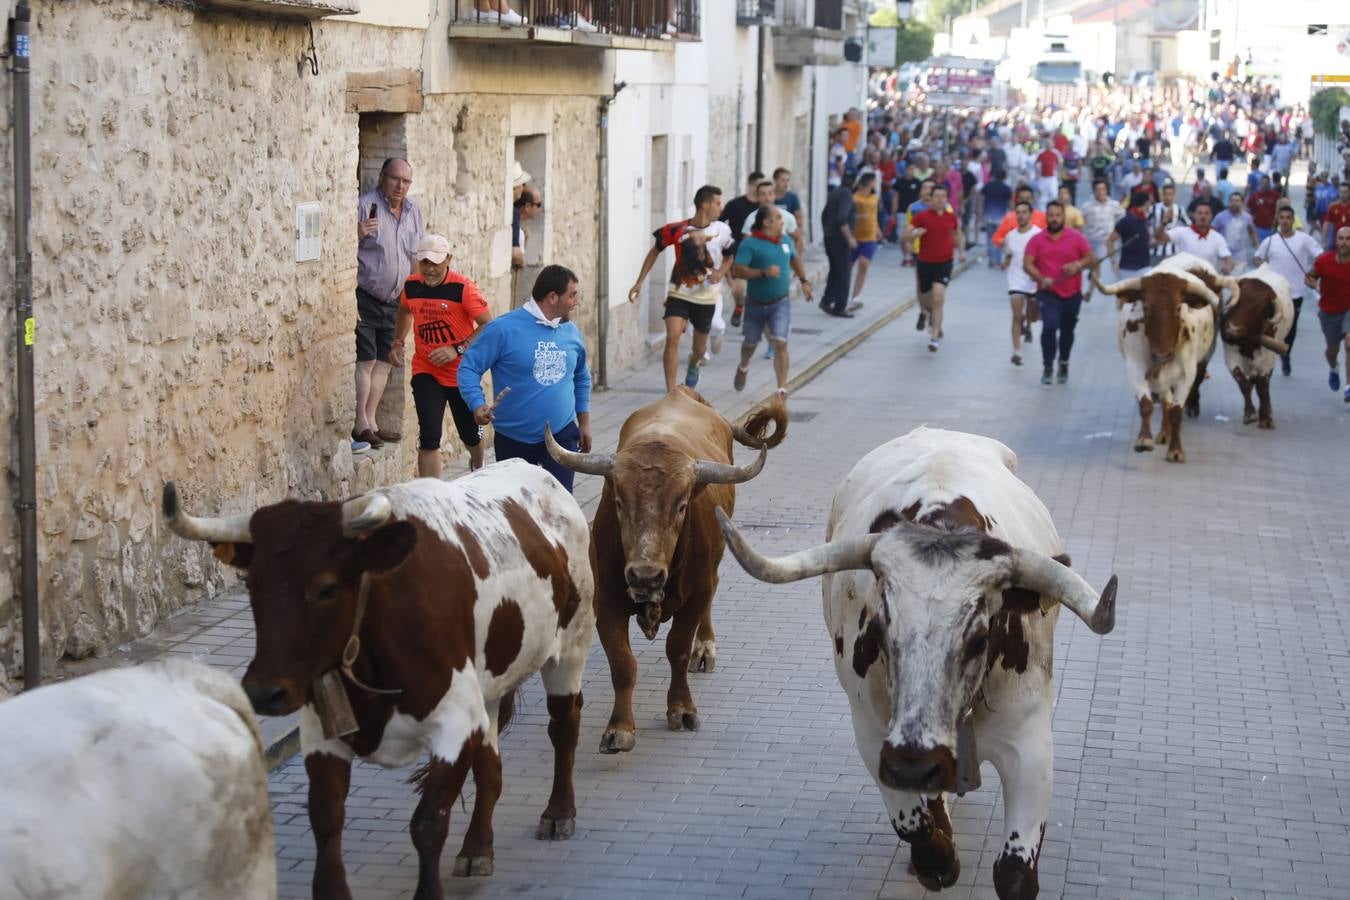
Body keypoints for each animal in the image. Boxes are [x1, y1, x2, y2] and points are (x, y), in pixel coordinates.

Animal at [163, 461, 596, 900]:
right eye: (252, 585)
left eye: (326, 588)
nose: (264, 692)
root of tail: (537, 472)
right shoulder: (321, 731)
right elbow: (326, 818)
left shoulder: (455, 723)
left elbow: (428, 822)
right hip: (491, 685)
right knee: (490, 763)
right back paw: (476, 848)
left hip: (570, 648)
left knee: (564, 728)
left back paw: (558, 813)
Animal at [542, 388, 788, 755]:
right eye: (618, 502)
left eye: (682, 505)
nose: (645, 575)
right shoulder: (607, 603)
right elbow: (623, 665)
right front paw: (619, 729)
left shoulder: (696, 594)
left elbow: (678, 648)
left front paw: (682, 709)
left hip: (712, 570)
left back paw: (705, 649)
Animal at [718, 429, 1117, 900]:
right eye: (880, 627)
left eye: (979, 638)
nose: (915, 764)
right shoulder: (873, 736)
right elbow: (918, 830)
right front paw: (936, 856)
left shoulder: (1030, 741)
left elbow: (1015, 873)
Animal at [1096, 253, 1236, 464]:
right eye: (1146, 307)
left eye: (1178, 308)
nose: (1161, 353)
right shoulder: (1135, 366)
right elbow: (1147, 404)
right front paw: (1144, 439)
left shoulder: (1186, 374)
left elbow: (1176, 412)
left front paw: (1176, 450)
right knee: (1165, 400)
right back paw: (1164, 432)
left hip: (1204, 358)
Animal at [1220, 264, 1290, 429]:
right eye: (1238, 300)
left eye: (1261, 308)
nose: (1232, 328)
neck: (1248, 343)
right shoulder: (1232, 354)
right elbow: (1243, 383)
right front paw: (1250, 414)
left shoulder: (1267, 360)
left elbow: (1262, 386)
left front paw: (1265, 418)